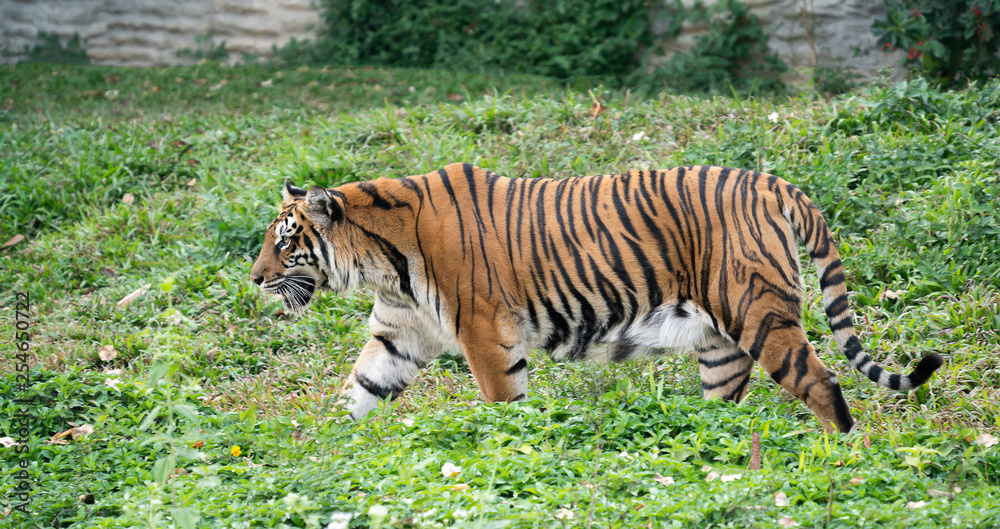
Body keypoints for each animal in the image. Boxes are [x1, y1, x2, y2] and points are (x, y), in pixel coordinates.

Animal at [252, 163, 944, 432]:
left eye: (285, 242)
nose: (255, 279)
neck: (383, 263)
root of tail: (775, 183)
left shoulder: (485, 334)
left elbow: (502, 405)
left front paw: (506, 448)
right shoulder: (398, 334)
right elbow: (359, 392)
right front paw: (324, 451)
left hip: (761, 313)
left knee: (823, 384)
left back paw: (839, 456)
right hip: (720, 344)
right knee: (726, 405)